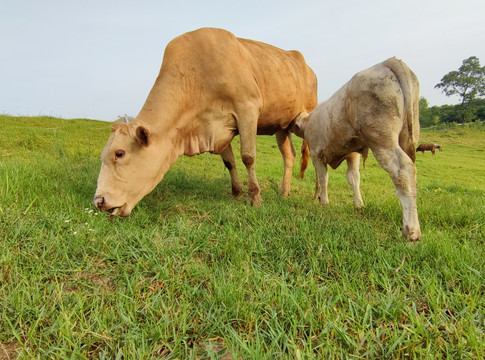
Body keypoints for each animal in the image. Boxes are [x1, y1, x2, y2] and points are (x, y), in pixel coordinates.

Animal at [93, 28, 318, 217]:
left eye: (119, 153)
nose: (98, 201)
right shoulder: (219, 128)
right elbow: (229, 162)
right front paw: (236, 193)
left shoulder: (248, 109)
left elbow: (248, 157)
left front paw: (254, 197)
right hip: (282, 126)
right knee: (289, 156)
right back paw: (284, 192)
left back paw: (317, 195)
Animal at [292, 57, 420, 240]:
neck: (309, 121)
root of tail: (387, 62)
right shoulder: (352, 154)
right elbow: (353, 178)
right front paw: (358, 204)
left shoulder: (317, 154)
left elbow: (323, 177)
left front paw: (323, 200)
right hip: (407, 136)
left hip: (382, 139)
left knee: (403, 171)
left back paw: (411, 230)